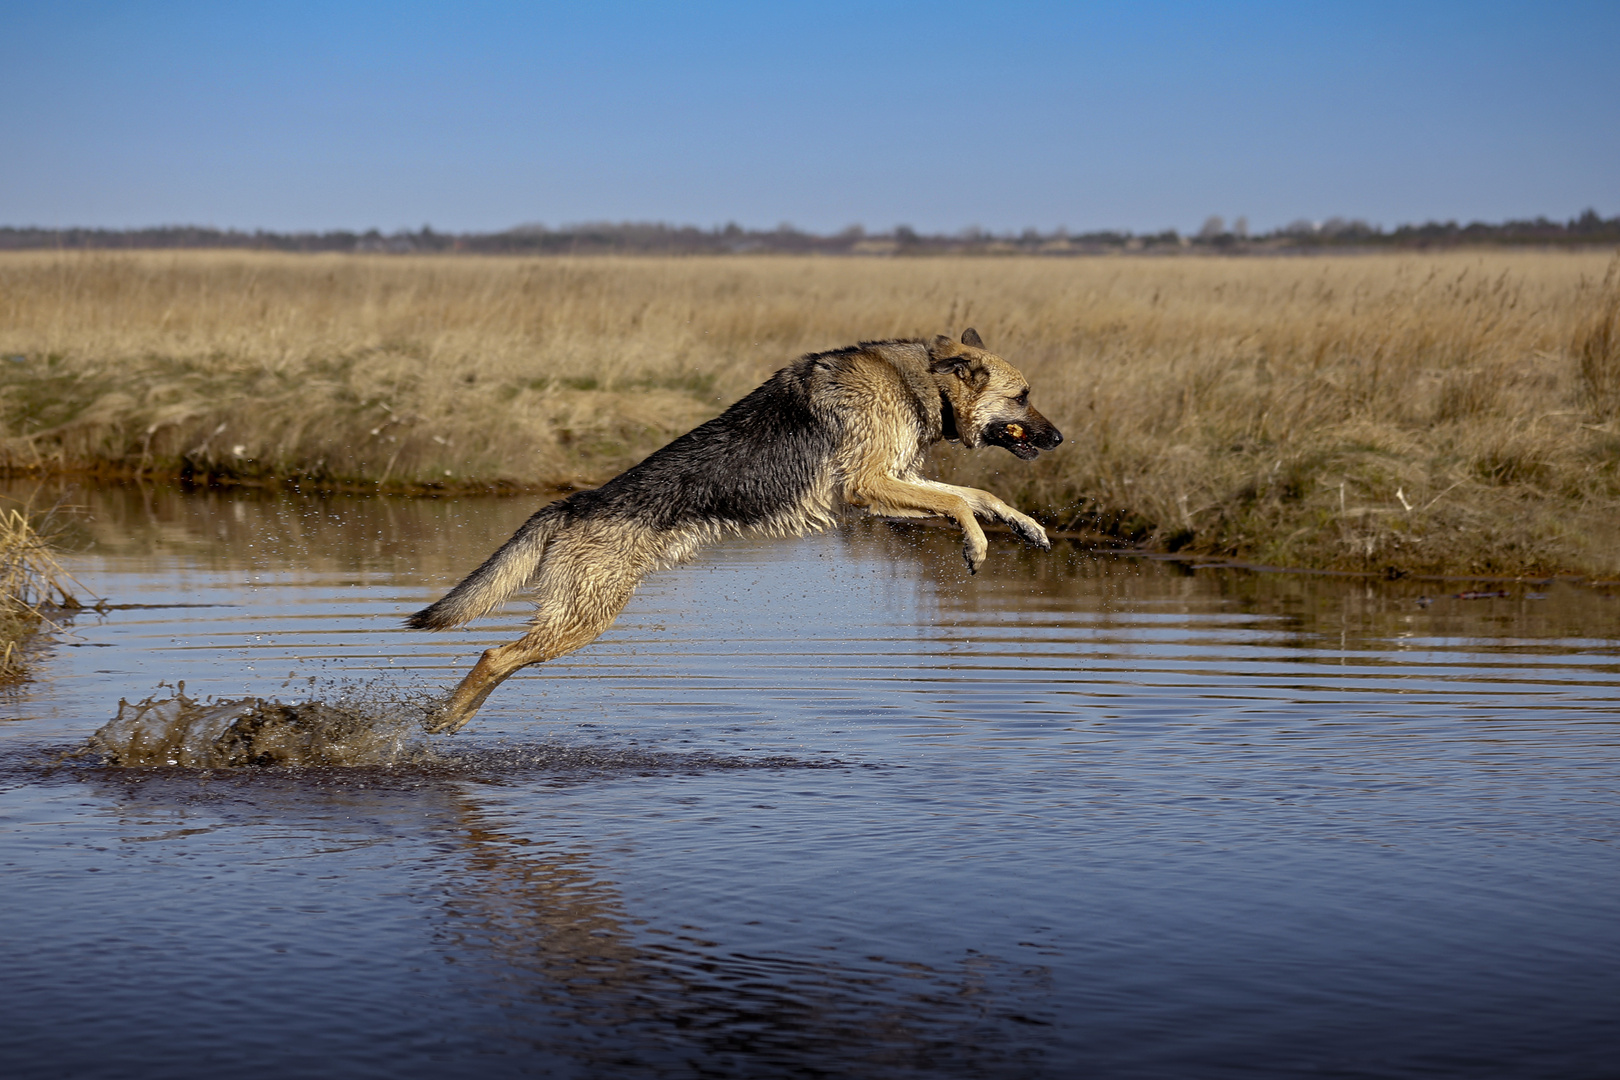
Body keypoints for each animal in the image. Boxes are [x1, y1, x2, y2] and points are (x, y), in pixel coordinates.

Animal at [405, 327, 1062, 735]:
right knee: (494, 654)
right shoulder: (870, 483)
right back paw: (447, 717)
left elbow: (976, 497)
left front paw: (1025, 527)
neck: (919, 382)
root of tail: (575, 501)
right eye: (1024, 397)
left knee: (502, 656)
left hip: (581, 615)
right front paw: (976, 545)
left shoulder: (887, 490)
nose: (1059, 438)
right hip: (584, 618)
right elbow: (961, 503)